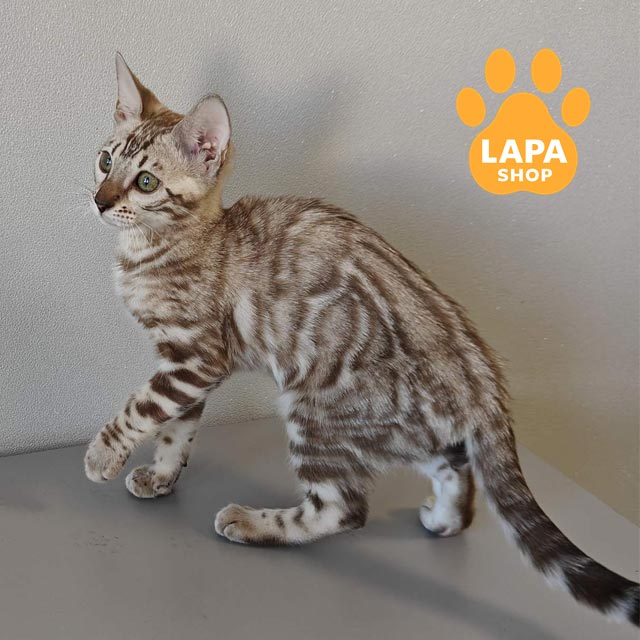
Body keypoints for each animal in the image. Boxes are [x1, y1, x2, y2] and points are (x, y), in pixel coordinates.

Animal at [84, 53, 639, 627]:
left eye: (146, 181)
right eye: (105, 161)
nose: (100, 201)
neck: (162, 249)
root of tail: (482, 376)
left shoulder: (197, 358)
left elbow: (142, 407)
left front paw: (102, 456)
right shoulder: (184, 365)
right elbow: (176, 429)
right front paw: (161, 475)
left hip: (317, 411)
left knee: (344, 509)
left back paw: (253, 523)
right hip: (394, 425)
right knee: (454, 462)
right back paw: (445, 518)